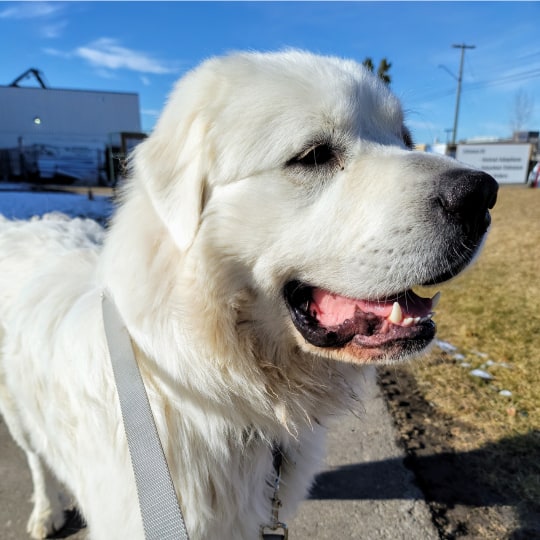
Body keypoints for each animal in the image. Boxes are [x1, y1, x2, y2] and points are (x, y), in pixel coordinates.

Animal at [0, 51, 498, 540]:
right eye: (314, 155)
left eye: (406, 139)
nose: (483, 193)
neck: (209, 386)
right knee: (37, 461)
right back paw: (46, 513)